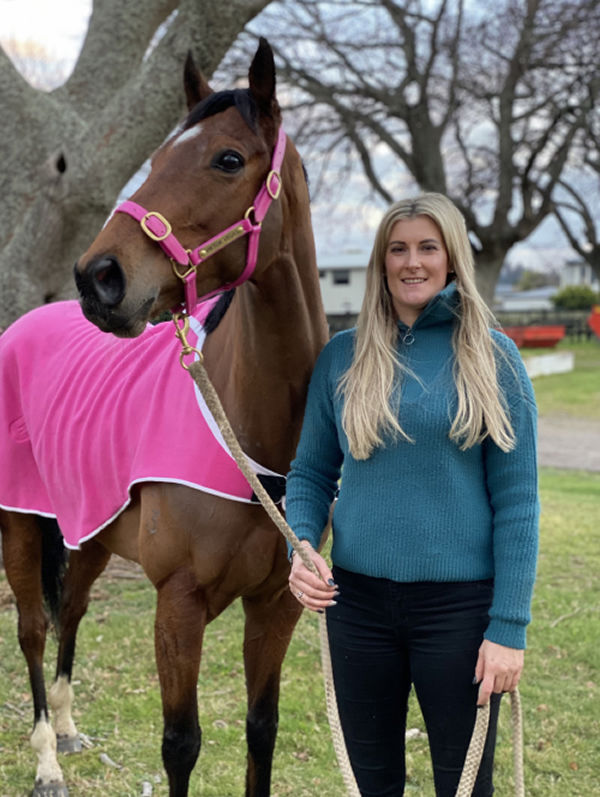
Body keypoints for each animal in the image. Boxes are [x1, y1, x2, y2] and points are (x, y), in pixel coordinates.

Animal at [0, 38, 328, 796]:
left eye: (228, 159)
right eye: (153, 159)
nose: (98, 278)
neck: (249, 436)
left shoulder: (278, 604)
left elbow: (261, 731)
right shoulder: (178, 604)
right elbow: (181, 743)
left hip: (89, 531)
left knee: (72, 610)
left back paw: (68, 728)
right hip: (20, 526)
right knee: (33, 628)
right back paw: (46, 758)